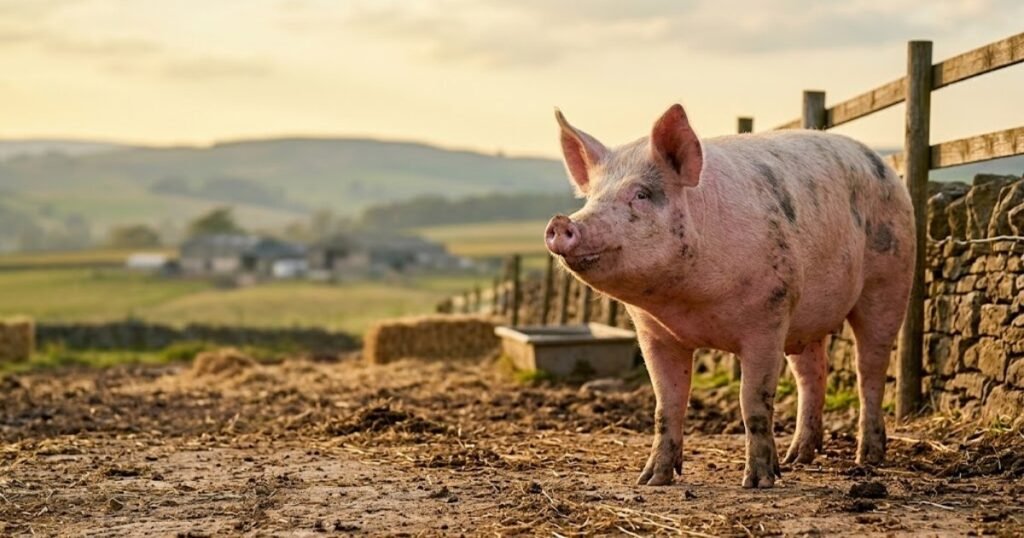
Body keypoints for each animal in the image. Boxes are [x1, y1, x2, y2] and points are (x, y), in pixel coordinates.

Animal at [545, 104, 914, 488]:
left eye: (642, 194)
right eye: (592, 197)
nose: (561, 222)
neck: (688, 305)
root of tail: (884, 165)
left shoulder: (768, 316)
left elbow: (753, 401)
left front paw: (758, 482)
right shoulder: (654, 333)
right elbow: (666, 404)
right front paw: (651, 479)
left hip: (890, 279)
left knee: (869, 368)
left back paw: (868, 457)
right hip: (804, 315)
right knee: (812, 373)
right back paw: (797, 457)